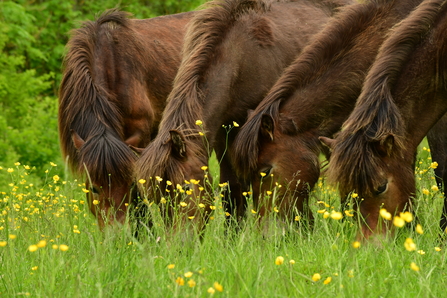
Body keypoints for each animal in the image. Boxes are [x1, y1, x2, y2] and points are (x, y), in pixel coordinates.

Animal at [133, 0, 346, 229]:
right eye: (159, 200)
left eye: (185, 189)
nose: (181, 238)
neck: (241, 57)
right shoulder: (223, 134)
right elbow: (232, 188)